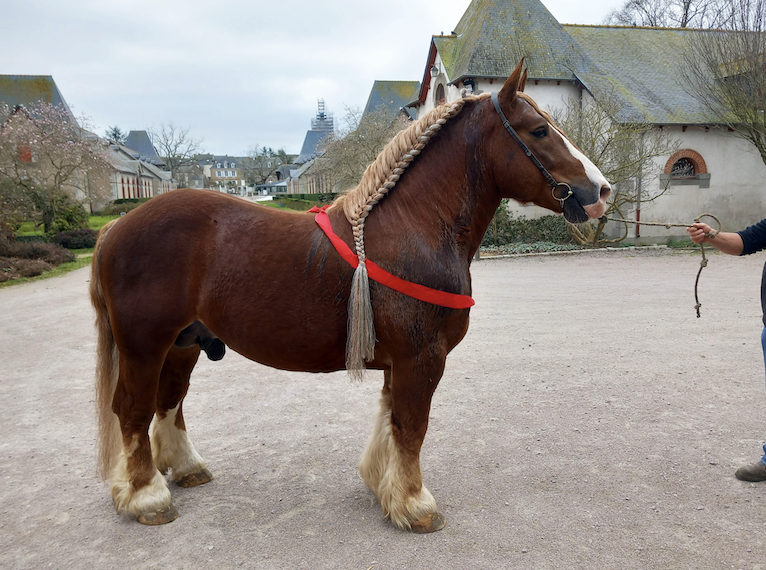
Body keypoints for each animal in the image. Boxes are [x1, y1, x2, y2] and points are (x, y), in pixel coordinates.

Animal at [89, 60, 611, 533]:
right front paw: (415, 504)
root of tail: (117, 226)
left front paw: (384, 487)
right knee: (132, 410)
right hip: (144, 347)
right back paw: (147, 496)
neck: (413, 227)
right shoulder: (423, 357)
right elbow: (412, 426)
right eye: (539, 131)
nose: (601, 191)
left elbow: (391, 422)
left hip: (184, 344)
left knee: (169, 401)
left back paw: (184, 469)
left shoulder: (400, 360)